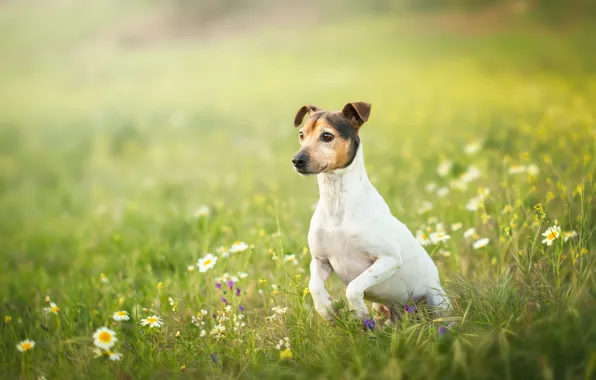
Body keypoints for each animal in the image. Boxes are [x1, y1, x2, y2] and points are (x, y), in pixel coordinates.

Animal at [292, 102, 450, 322]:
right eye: (301, 134)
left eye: (327, 136)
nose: (297, 160)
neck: (337, 203)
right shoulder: (320, 260)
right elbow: (314, 285)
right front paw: (326, 309)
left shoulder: (389, 259)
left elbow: (353, 287)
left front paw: (358, 311)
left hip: (438, 303)